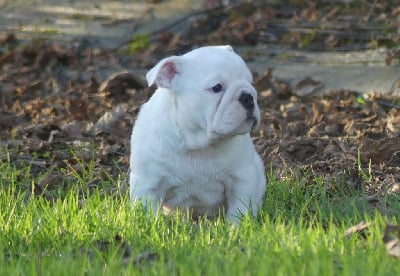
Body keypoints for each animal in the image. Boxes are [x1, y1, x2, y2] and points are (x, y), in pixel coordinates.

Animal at [129, 45, 266, 222]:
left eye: (250, 82)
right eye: (217, 88)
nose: (248, 97)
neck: (197, 144)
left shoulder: (242, 178)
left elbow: (240, 209)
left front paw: (236, 226)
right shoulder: (148, 183)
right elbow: (147, 211)